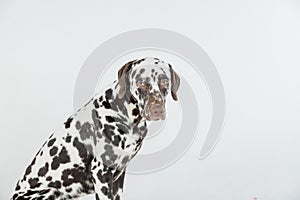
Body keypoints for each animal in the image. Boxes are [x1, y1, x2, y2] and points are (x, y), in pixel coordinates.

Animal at [10, 57, 180, 199]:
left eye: (165, 81)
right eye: (141, 83)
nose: (157, 110)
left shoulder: (118, 177)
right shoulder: (101, 173)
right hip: (51, 191)